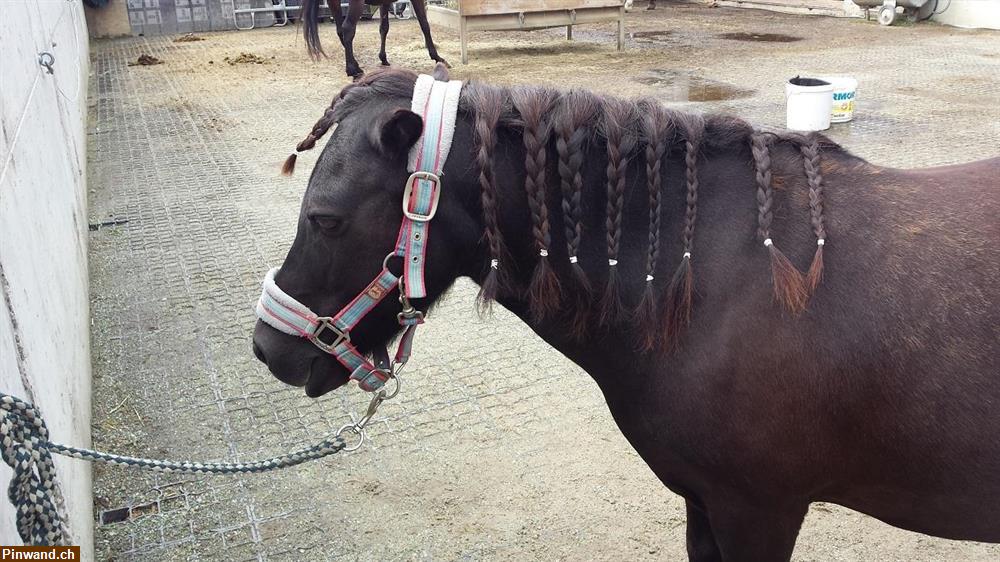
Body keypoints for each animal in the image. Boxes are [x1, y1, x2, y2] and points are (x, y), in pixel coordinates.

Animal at [298, 0, 448, 76]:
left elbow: (384, 28)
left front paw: (383, 58)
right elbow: (424, 24)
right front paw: (437, 57)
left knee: (340, 31)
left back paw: (355, 65)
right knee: (348, 29)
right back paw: (353, 70)